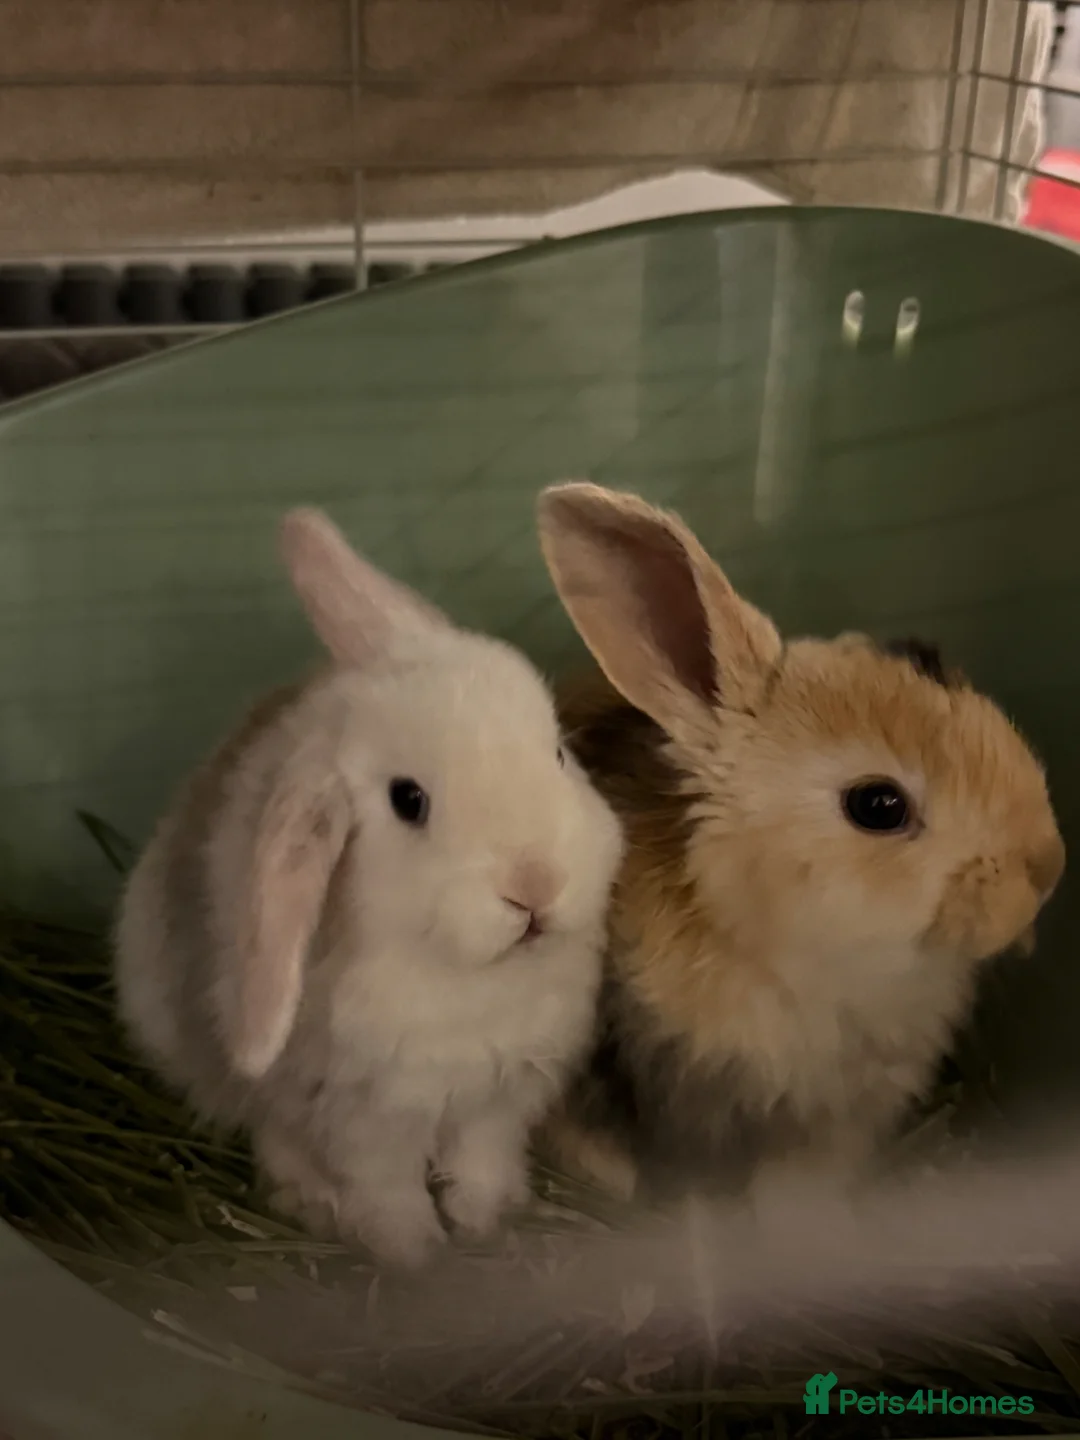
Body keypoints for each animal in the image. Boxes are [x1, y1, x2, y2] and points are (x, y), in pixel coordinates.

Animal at [114, 506, 624, 1268]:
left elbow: (481, 1163)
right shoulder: (368, 1119)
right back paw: (310, 1202)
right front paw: (413, 1252)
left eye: (560, 752)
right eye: (408, 801)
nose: (536, 885)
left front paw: (486, 1223)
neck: (470, 981)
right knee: (272, 1133)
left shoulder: (497, 1103)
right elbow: (387, 1187)